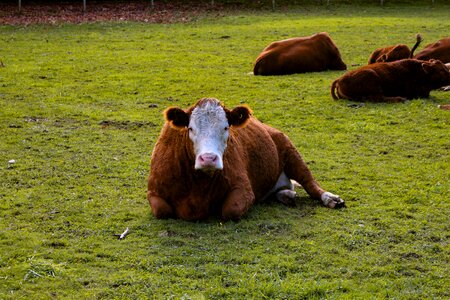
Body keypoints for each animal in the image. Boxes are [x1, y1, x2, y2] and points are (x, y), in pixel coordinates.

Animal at [148, 97, 344, 221]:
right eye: (190, 128)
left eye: (226, 127)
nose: (208, 158)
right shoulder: (153, 192)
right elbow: (162, 210)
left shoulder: (244, 189)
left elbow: (231, 210)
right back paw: (287, 195)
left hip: (291, 152)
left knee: (309, 182)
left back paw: (330, 199)